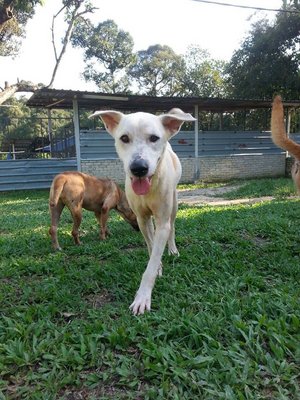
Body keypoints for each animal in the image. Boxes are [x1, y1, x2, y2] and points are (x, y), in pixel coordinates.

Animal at [90, 108, 196, 314]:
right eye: (124, 138)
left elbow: (154, 255)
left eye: (154, 138)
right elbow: (151, 246)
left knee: (172, 227)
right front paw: (158, 267)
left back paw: (173, 250)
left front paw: (143, 297)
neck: (150, 186)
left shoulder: (162, 221)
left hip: (174, 203)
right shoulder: (141, 218)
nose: (138, 168)